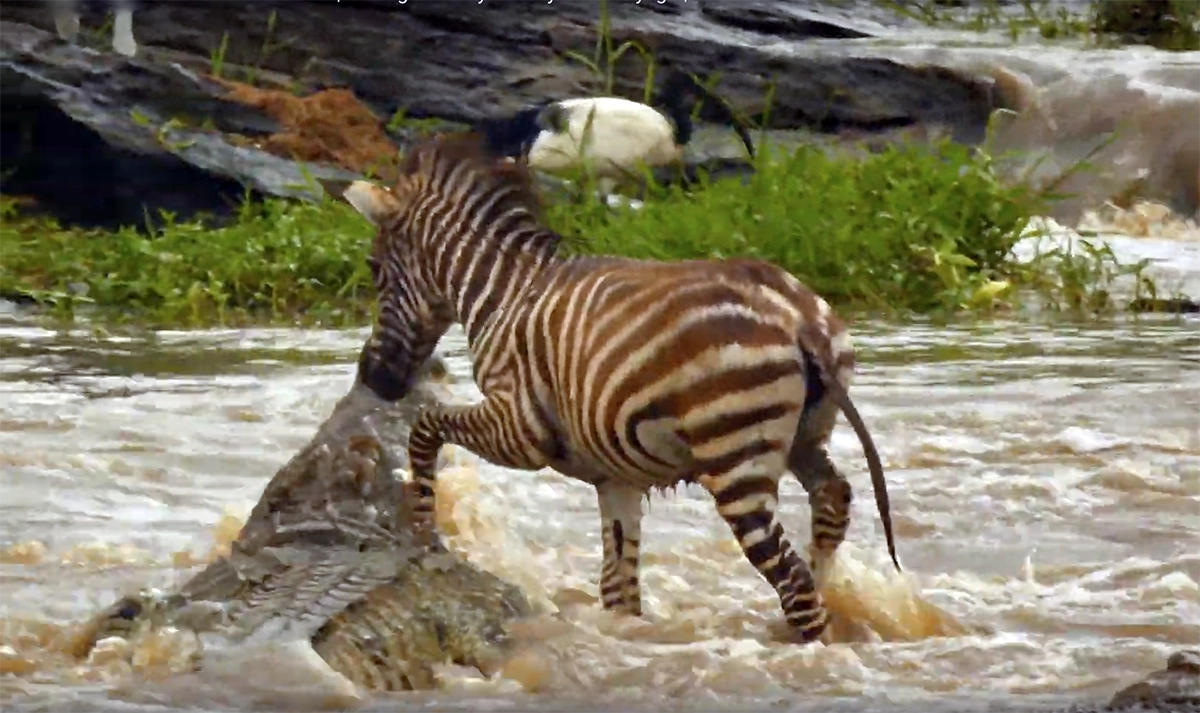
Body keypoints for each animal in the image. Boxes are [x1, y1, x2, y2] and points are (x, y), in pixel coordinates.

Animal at [328, 133, 902, 643]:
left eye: (374, 269)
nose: (375, 378)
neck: (503, 294)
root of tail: (797, 316)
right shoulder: (615, 476)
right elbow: (617, 591)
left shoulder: (520, 429)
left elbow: (426, 428)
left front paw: (424, 528)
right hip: (806, 435)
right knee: (832, 499)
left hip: (735, 457)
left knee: (793, 583)